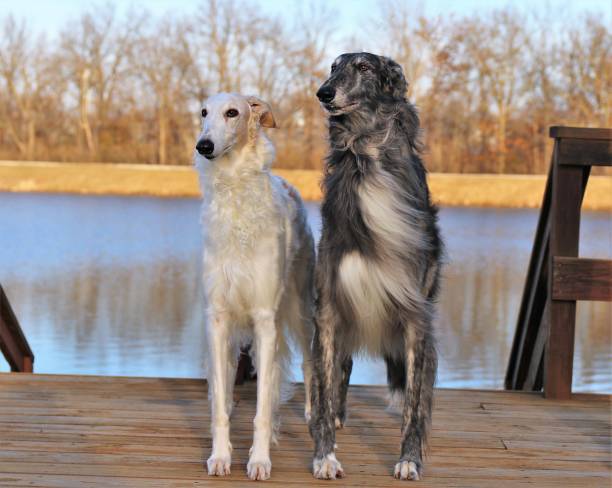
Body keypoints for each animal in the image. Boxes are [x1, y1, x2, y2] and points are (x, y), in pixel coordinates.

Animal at [194, 92, 316, 480]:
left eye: (233, 112)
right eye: (203, 112)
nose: (204, 145)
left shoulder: (265, 319)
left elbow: (262, 408)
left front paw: (259, 460)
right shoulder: (217, 318)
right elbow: (220, 404)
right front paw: (221, 456)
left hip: (301, 310)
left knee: (308, 365)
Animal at [308, 52, 442, 480]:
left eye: (364, 67)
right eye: (333, 67)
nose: (324, 93)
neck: (366, 155)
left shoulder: (415, 315)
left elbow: (414, 404)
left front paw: (409, 459)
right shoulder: (330, 307)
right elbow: (324, 391)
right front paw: (325, 455)